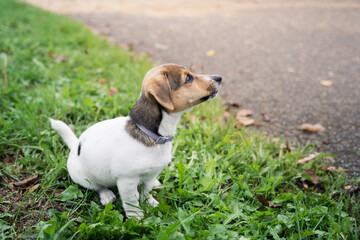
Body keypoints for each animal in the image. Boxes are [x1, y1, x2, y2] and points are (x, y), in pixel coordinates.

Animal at [49, 63, 221, 218]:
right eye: (188, 78)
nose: (219, 78)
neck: (154, 135)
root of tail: (74, 146)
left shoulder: (150, 175)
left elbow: (146, 191)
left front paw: (149, 202)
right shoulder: (127, 181)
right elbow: (131, 200)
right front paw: (136, 217)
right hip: (84, 178)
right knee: (97, 186)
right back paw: (106, 195)